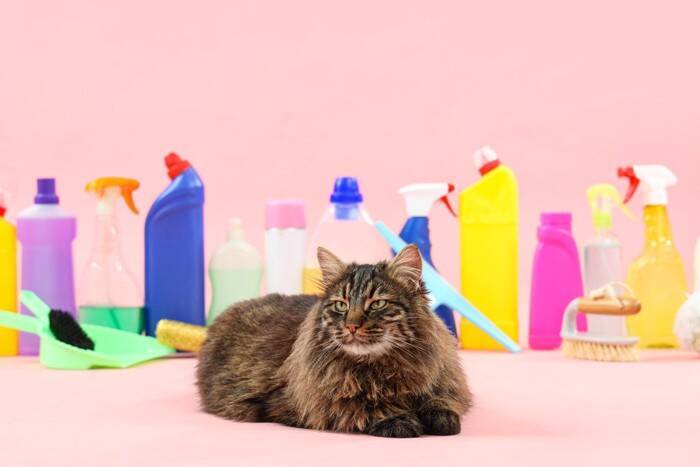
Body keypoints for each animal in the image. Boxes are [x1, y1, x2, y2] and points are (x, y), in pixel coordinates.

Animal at [196, 244, 472, 437]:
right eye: (341, 305)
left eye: (378, 304)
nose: (351, 325)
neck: (383, 368)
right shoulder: (300, 404)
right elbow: (362, 407)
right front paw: (399, 420)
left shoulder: (445, 381)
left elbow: (442, 401)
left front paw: (441, 417)